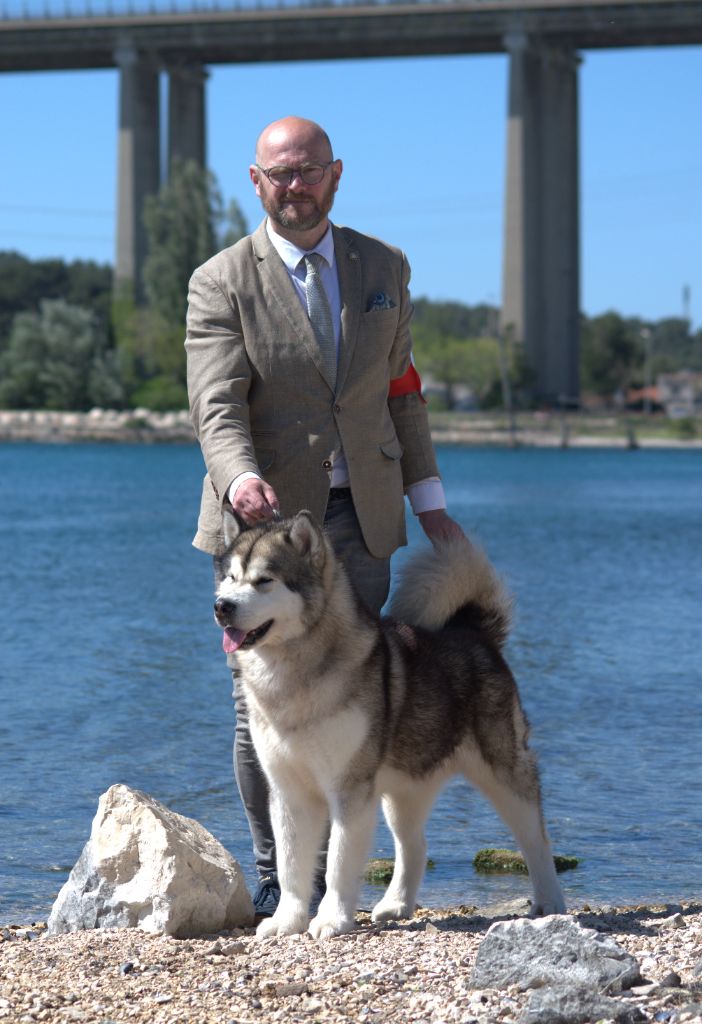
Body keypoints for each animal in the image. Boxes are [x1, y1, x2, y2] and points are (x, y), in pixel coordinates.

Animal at [214, 507, 564, 937]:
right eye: (230, 577)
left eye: (264, 581)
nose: (222, 606)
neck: (293, 674)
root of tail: (473, 632)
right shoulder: (288, 792)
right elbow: (292, 864)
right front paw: (287, 921)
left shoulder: (349, 790)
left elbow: (337, 862)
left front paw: (330, 919)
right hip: (404, 788)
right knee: (415, 846)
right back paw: (397, 904)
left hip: (503, 773)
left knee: (535, 837)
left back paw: (550, 901)